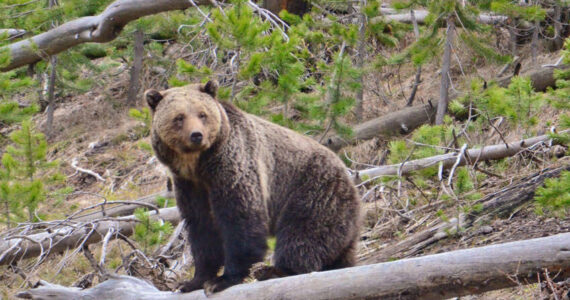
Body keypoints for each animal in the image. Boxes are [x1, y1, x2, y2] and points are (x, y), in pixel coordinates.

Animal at [145, 81, 360, 294]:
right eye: (179, 117)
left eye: (202, 114)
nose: (196, 135)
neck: (199, 165)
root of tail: (348, 175)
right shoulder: (189, 185)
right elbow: (201, 228)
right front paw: (193, 281)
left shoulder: (233, 166)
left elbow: (240, 218)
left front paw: (223, 279)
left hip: (313, 190)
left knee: (302, 234)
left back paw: (274, 271)